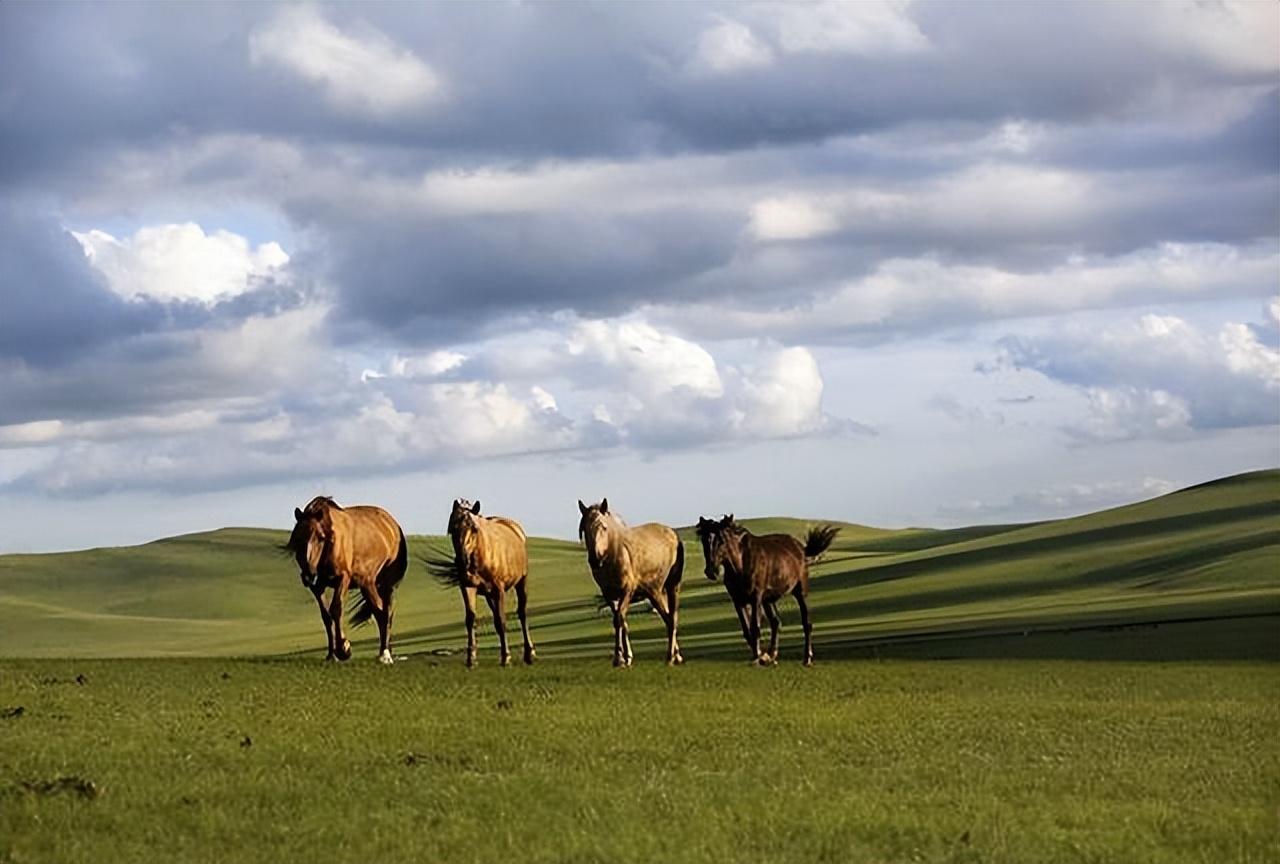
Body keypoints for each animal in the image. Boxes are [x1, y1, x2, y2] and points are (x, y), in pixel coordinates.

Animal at [286, 496, 407, 665]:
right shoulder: (318, 587)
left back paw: (385, 654)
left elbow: (336, 609)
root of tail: (393, 525)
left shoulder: (343, 578)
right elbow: (326, 616)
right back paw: (385, 651)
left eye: (320, 538)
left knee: (386, 612)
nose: (309, 574)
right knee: (379, 611)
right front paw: (332, 654)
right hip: (367, 584)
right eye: (297, 539)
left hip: (386, 585)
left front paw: (343, 649)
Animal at [424, 499, 535, 670]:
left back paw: (529, 653)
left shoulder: (499, 590)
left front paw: (506, 657)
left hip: (521, 582)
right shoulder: (468, 587)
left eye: (474, 529)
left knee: (522, 613)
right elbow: (471, 619)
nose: (462, 561)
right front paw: (471, 658)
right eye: (452, 529)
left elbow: (501, 620)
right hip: (489, 595)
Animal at [578, 499, 686, 670]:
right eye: (584, 529)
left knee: (671, 618)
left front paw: (619, 659)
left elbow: (619, 620)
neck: (614, 553)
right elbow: (621, 622)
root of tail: (673, 534)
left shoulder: (626, 592)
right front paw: (625, 657)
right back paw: (676, 656)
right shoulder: (610, 596)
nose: (595, 560)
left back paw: (670, 657)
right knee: (669, 617)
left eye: (603, 527)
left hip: (669, 587)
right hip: (656, 592)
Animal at [696, 514, 834, 670]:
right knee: (776, 622)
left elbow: (755, 627)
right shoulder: (738, 601)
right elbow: (747, 630)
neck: (742, 563)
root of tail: (801, 549)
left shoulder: (756, 598)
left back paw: (807, 659)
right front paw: (762, 656)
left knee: (806, 623)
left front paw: (758, 657)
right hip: (768, 600)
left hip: (800, 592)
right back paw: (772, 655)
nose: (711, 571)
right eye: (704, 540)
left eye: (721, 540)